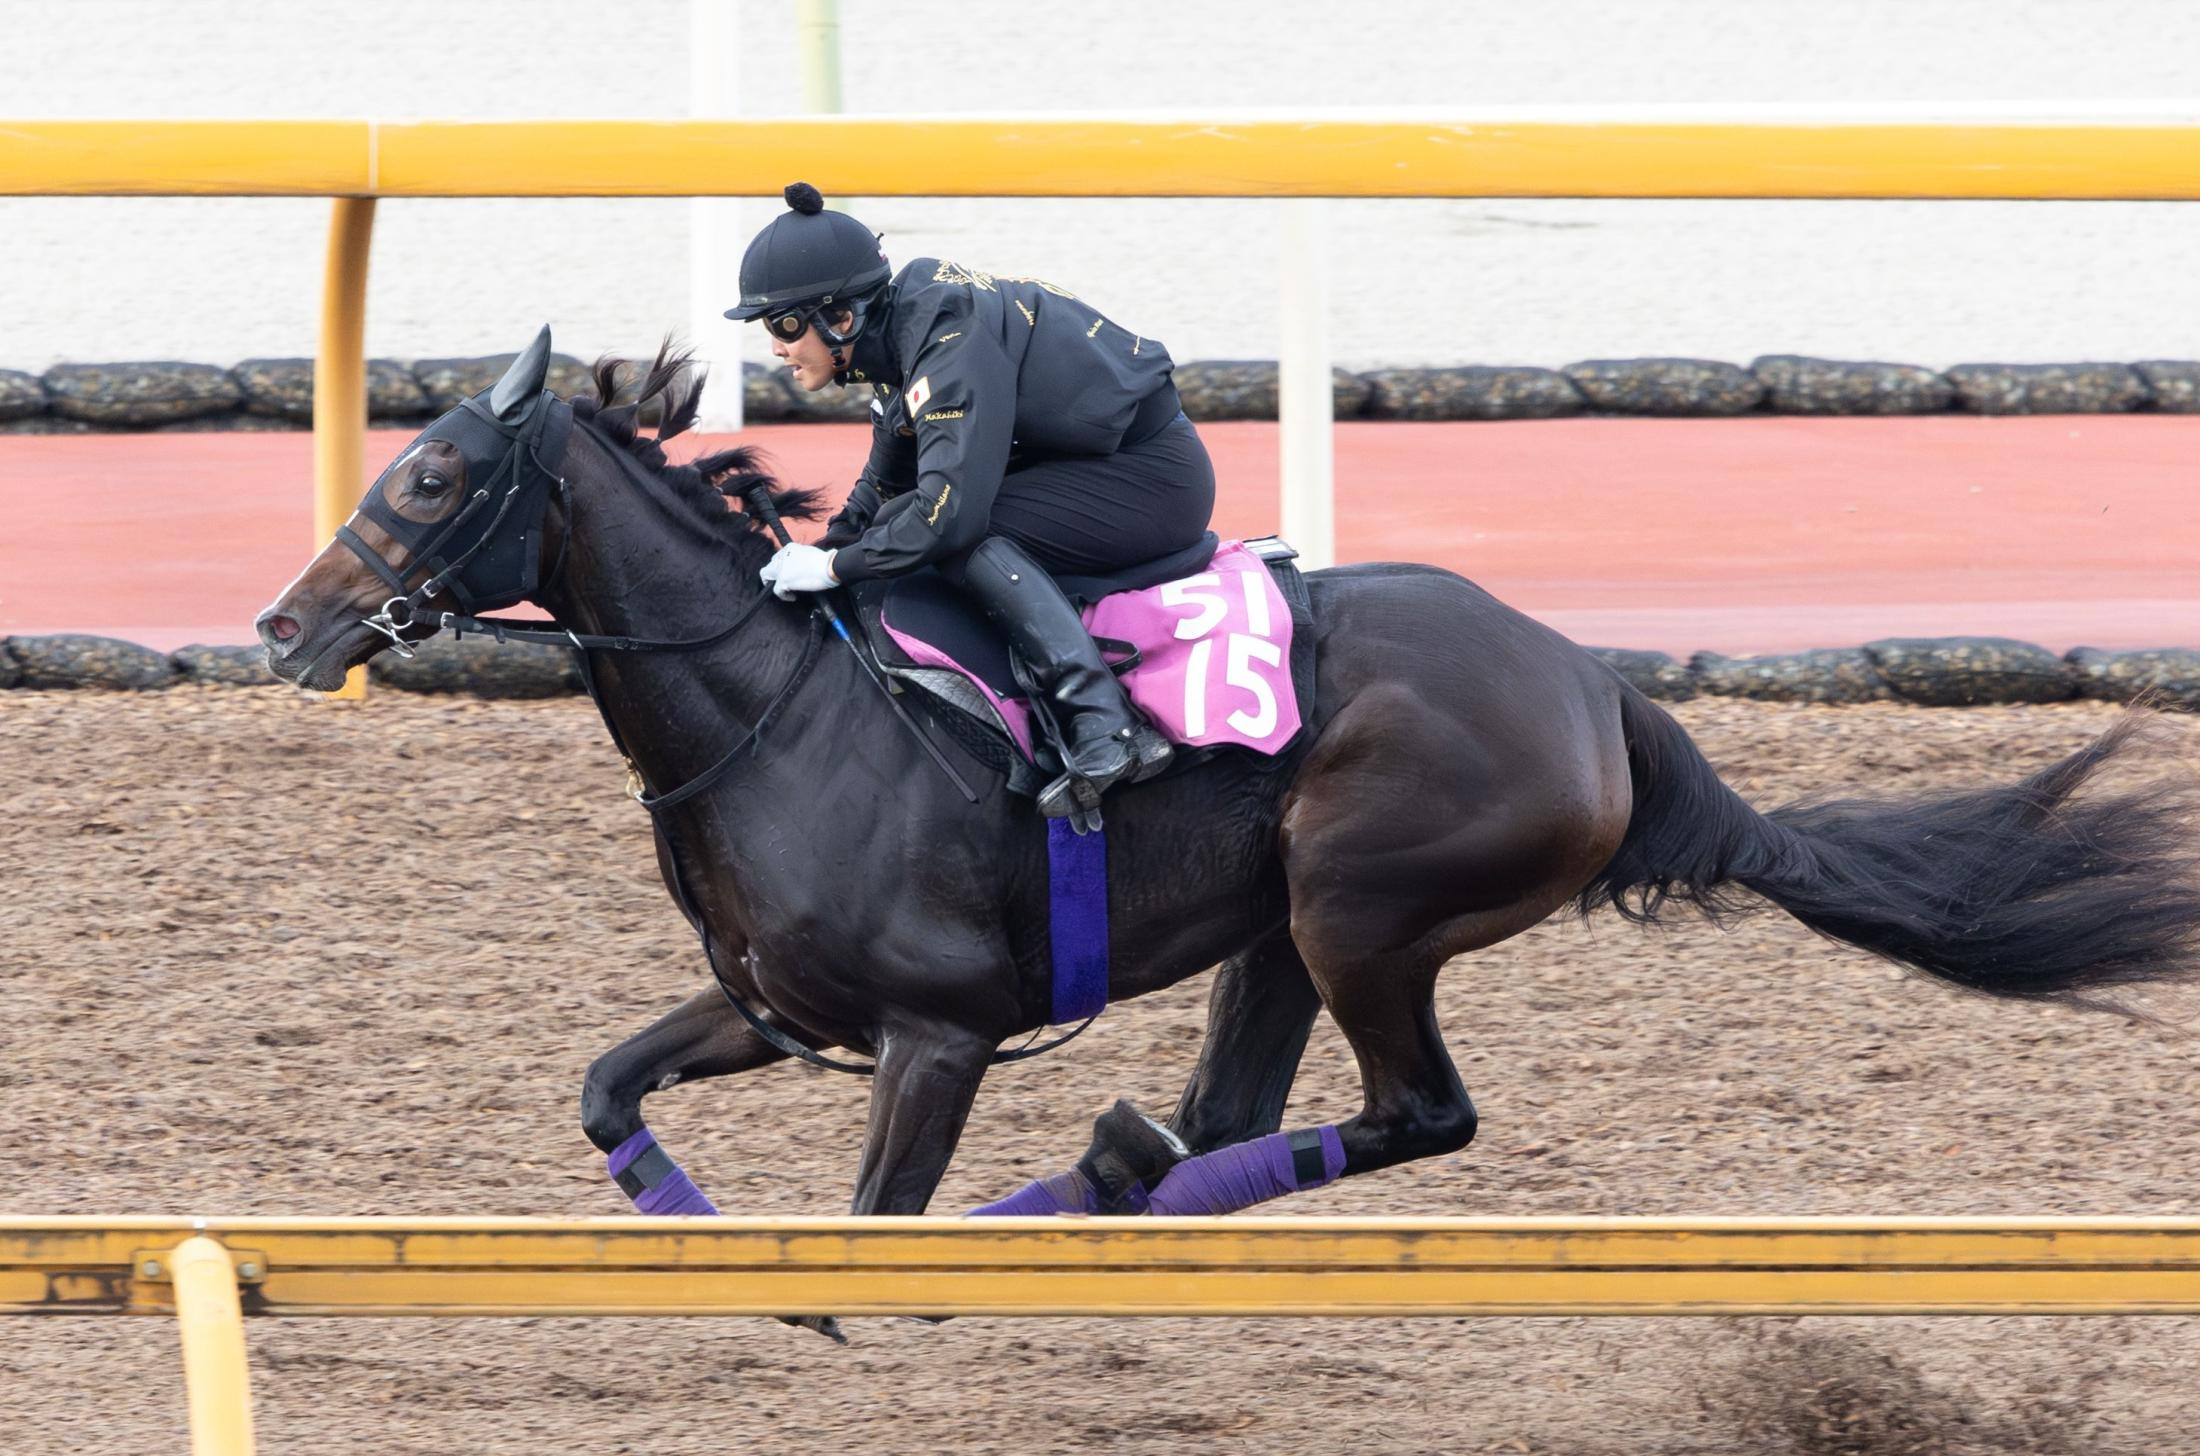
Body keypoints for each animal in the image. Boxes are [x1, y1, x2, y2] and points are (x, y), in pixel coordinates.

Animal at [261, 338, 2200, 1231]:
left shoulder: (937, 1034)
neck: (778, 712)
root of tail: (1593, 683)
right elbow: (609, 1087)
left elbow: (883, 1222)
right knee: (1235, 1116)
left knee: (1416, 1115)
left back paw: (1115, 1170)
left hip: (1363, 905)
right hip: (1280, 931)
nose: (285, 623)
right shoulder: (774, 1004)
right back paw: (1125, 1165)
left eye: (434, 479)